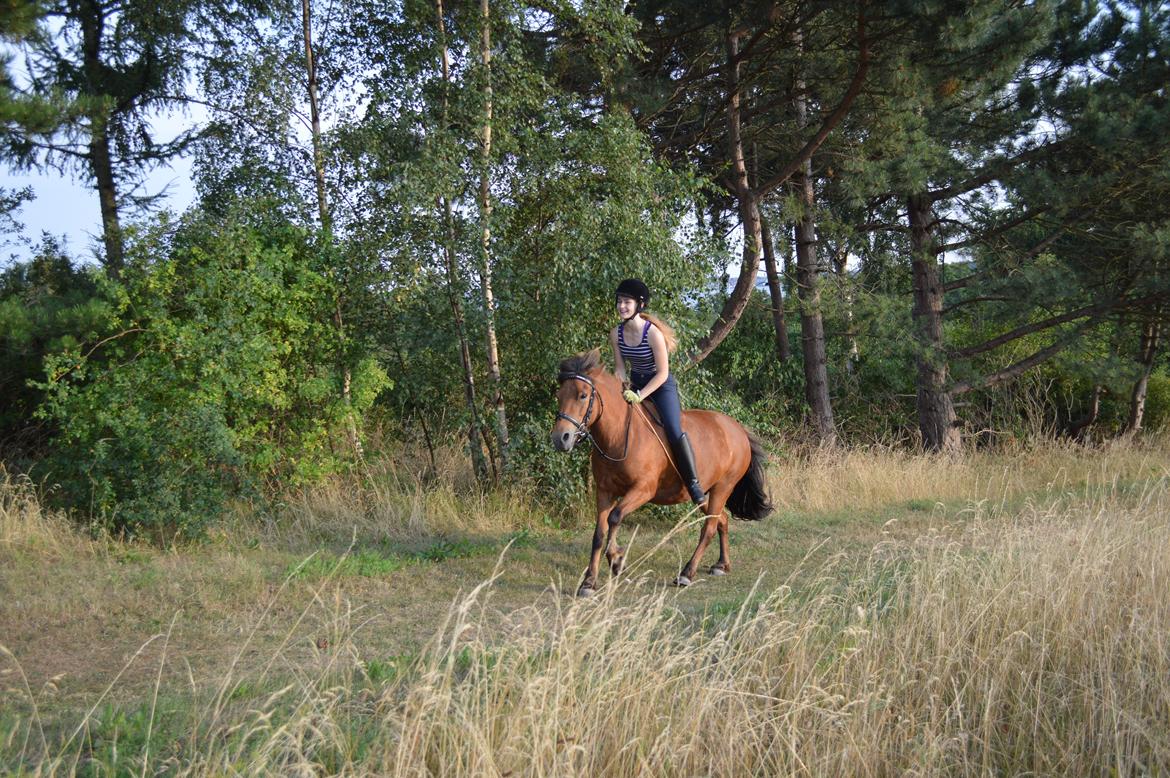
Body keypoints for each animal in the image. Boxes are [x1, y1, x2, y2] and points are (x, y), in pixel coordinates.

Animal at [549, 348, 772, 596]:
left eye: (583, 395)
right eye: (559, 396)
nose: (561, 438)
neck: (618, 437)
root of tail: (738, 429)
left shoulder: (643, 489)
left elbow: (615, 517)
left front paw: (617, 558)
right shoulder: (605, 491)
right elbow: (599, 533)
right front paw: (589, 582)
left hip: (723, 487)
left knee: (709, 528)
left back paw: (687, 573)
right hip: (705, 492)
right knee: (721, 519)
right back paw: (722, 564)